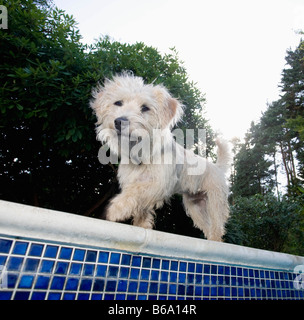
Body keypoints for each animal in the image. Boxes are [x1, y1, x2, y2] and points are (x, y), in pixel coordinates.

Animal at [90, 74, 230, 241]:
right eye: (118, 103)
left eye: (145, 107)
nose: (119, 121)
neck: (140, 151)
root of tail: (218, 168)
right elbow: (140, 208)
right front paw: (141, 226)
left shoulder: (157, 184)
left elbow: (134, 192)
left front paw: (115, 210)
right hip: (196, 207)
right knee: (209, 228)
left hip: (215, 204)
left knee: (217, 228)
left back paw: (216, 241)